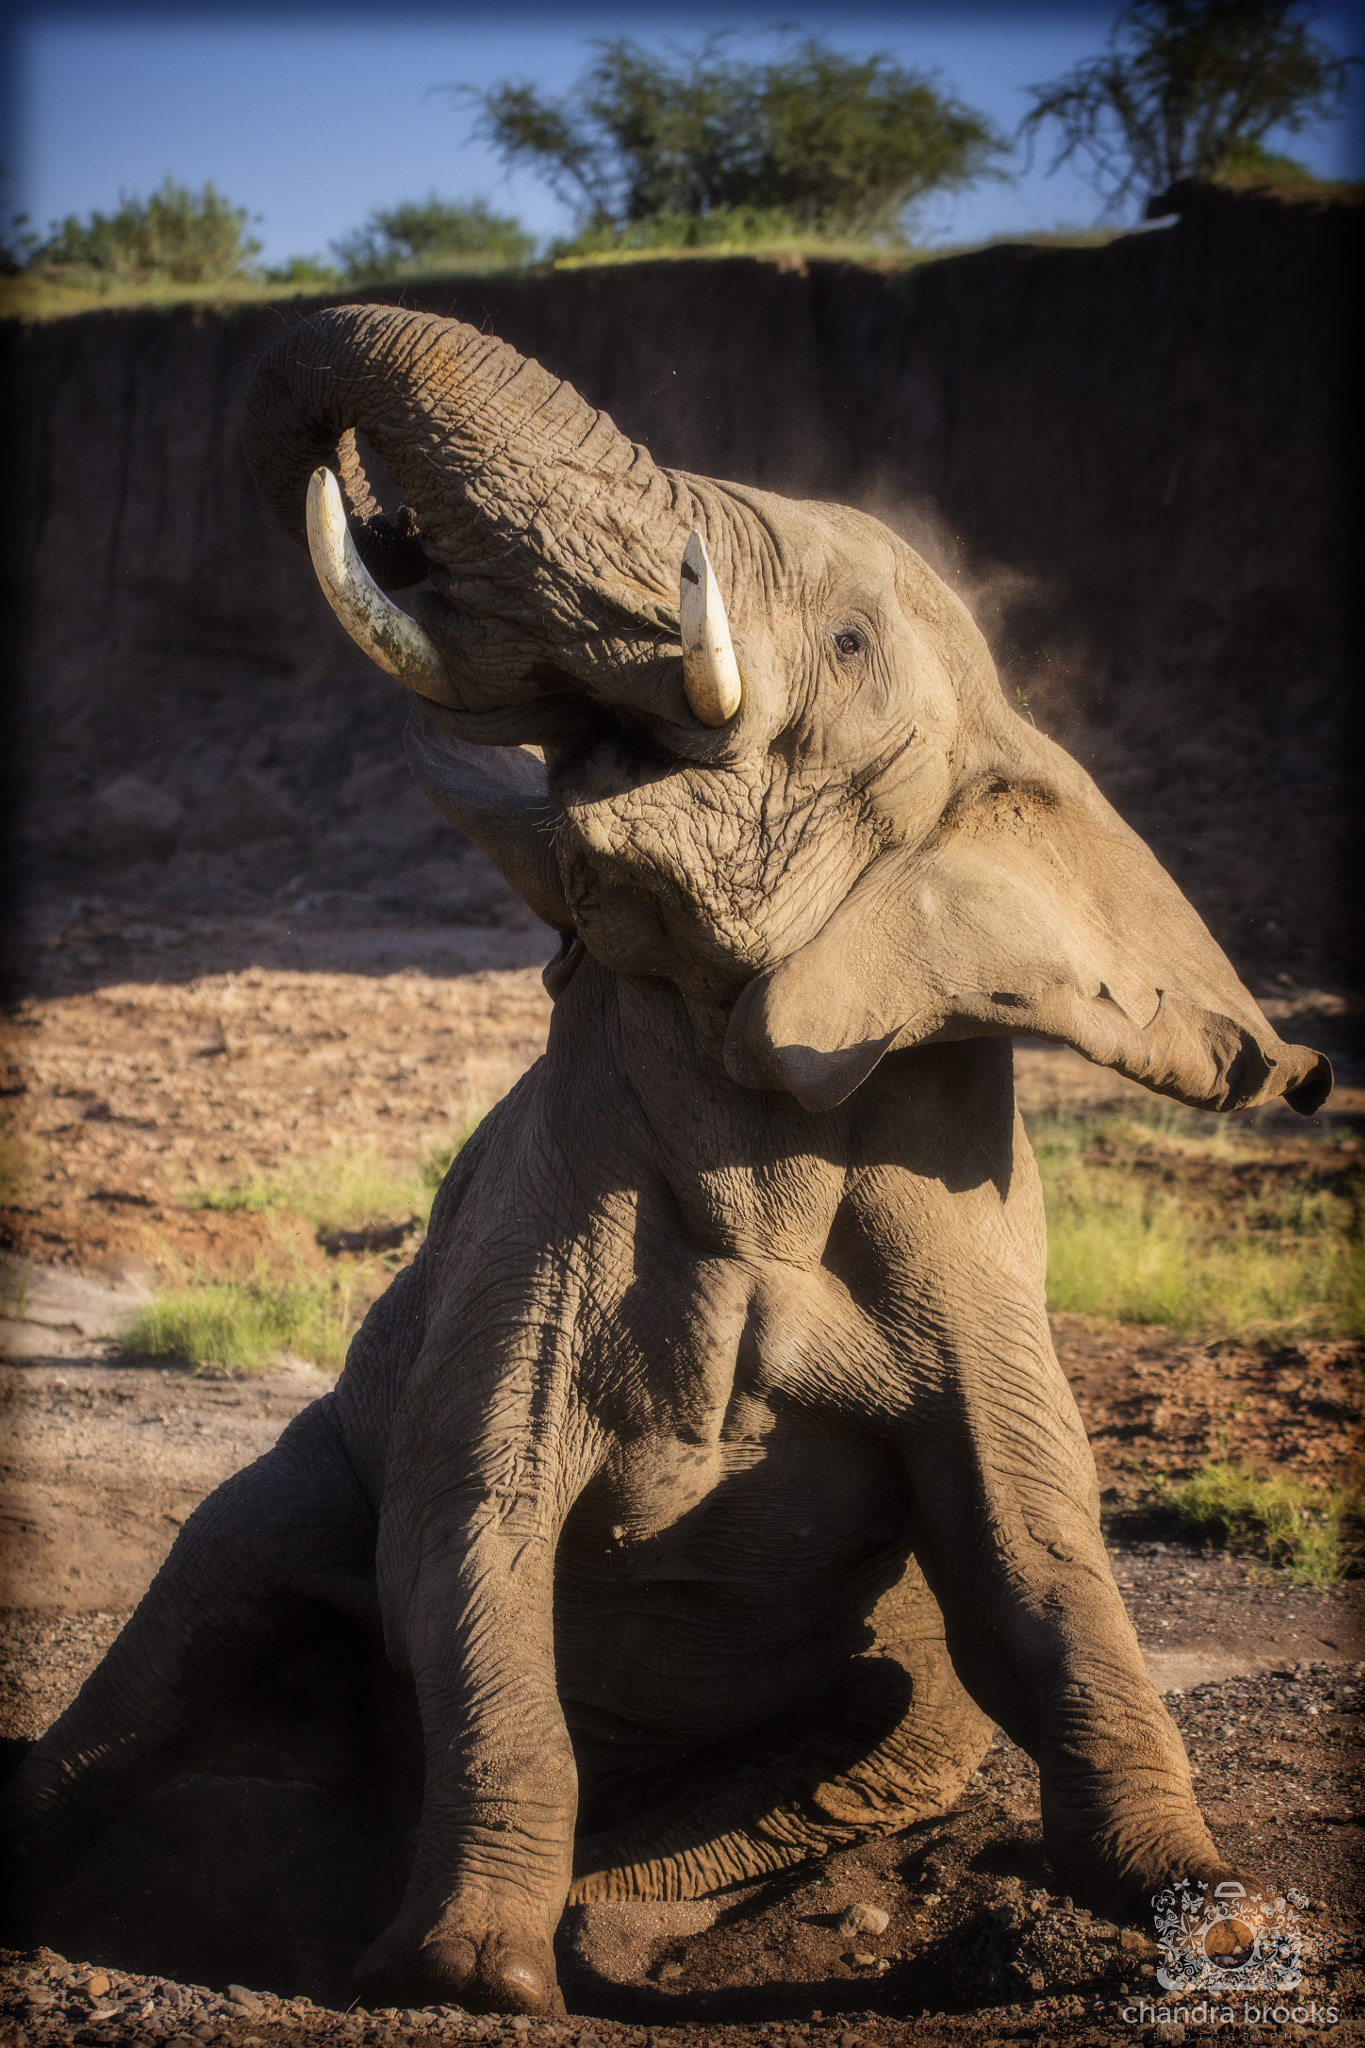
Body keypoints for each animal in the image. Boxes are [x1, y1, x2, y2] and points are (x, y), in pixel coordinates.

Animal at [3, 304, 1331, 2018]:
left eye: (848, 647)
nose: (377, 508)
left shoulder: (961, 1209)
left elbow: (1033, 1557)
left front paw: (1211, 1918)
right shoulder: (536, 1211)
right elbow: (473, 1533)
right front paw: (472, 1981)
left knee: (912, 1712)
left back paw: (611, 1922)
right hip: (262, 1520)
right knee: (202, 1600)